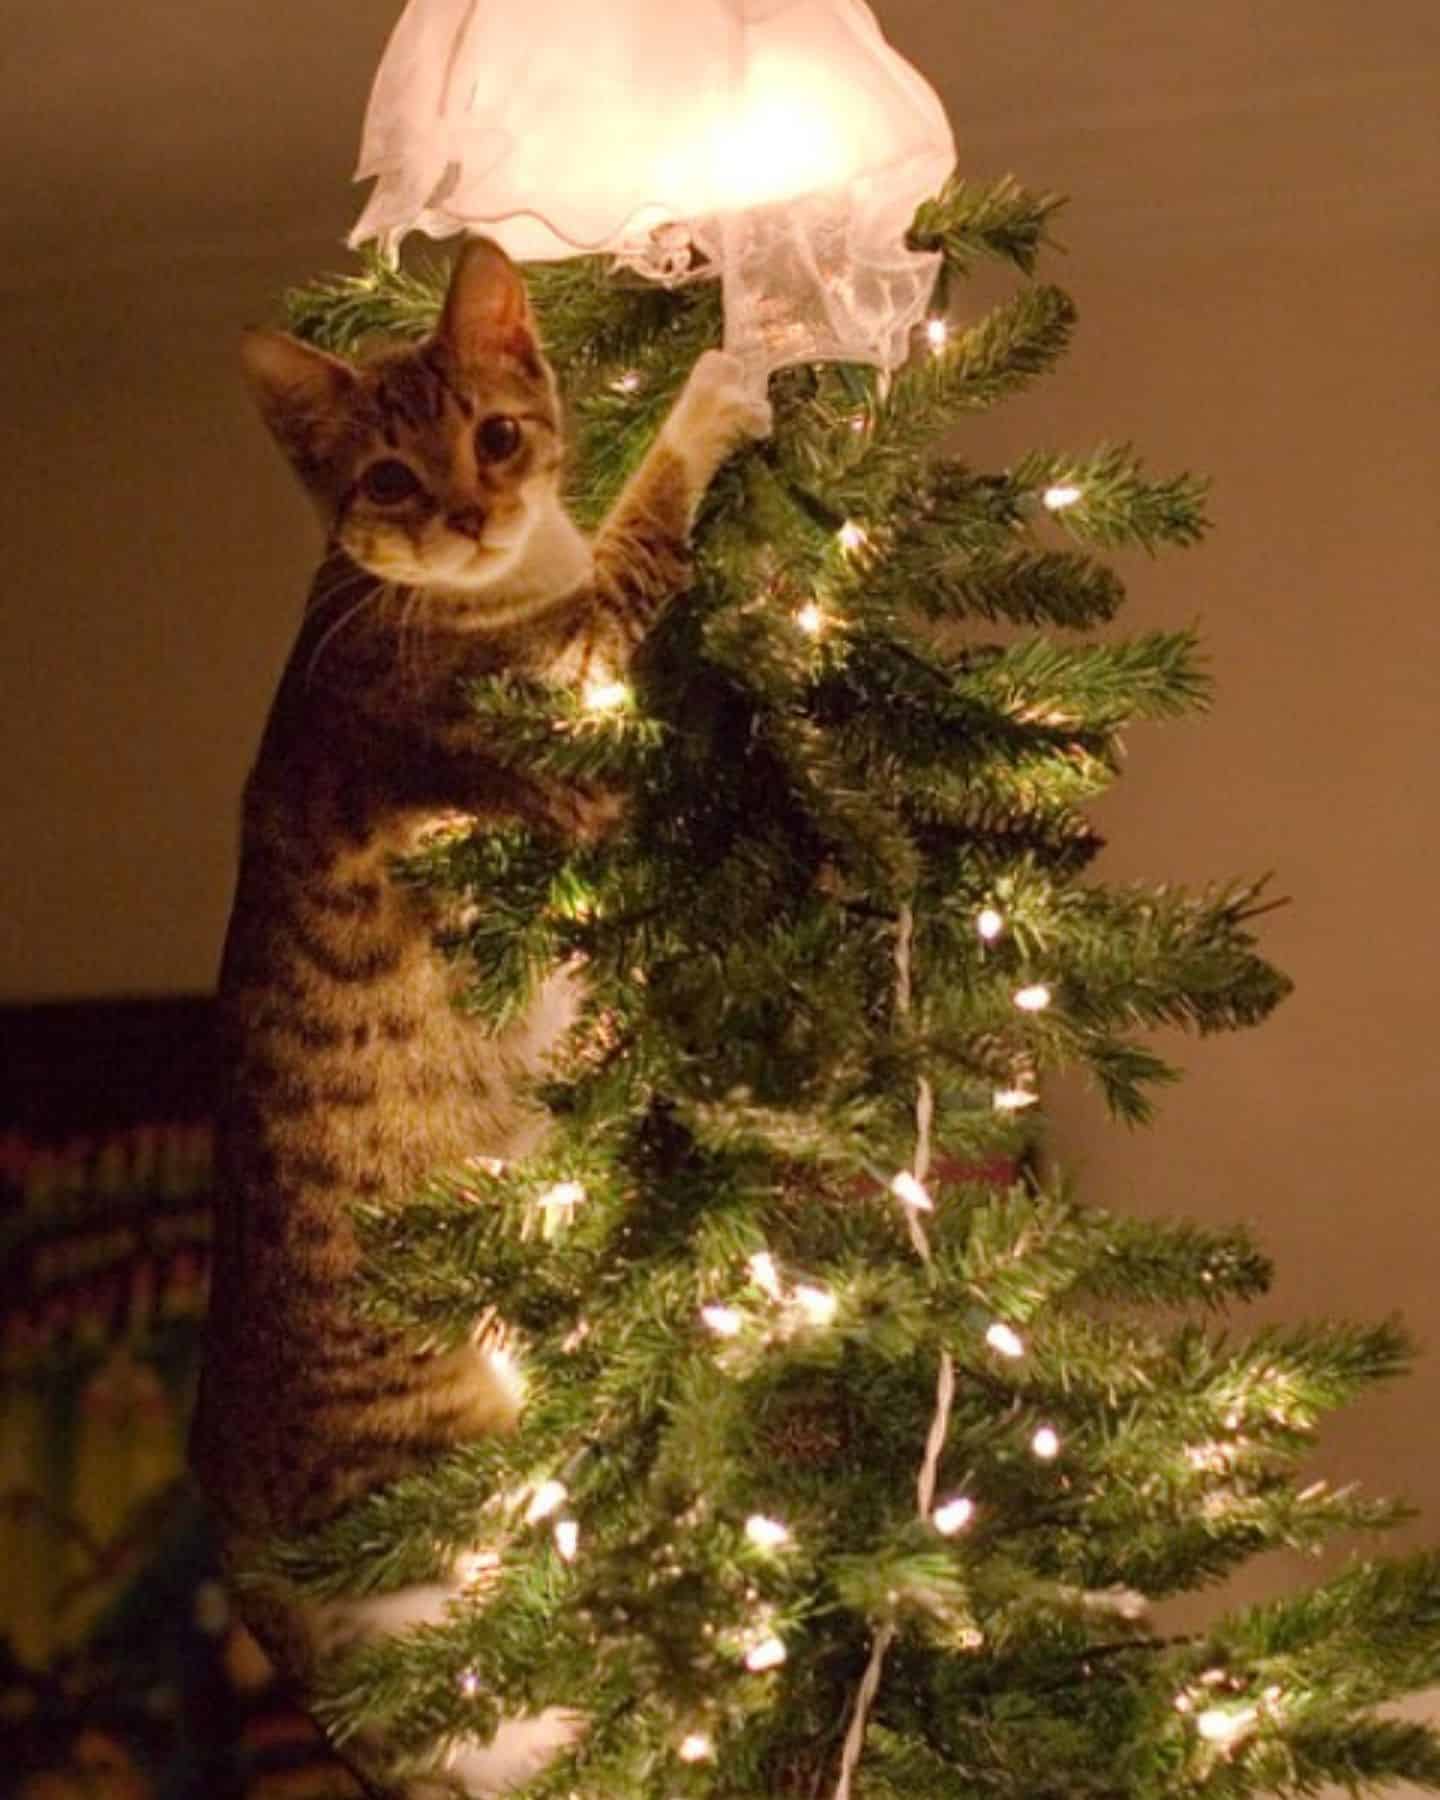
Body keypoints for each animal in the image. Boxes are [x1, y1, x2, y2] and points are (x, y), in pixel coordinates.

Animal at [192, 243, 777, 1800]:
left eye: (498, 435)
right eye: (390, 478)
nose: (466, 512)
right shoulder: (550, 699)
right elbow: (644, 525)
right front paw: (718, 388)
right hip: (456, 1484)